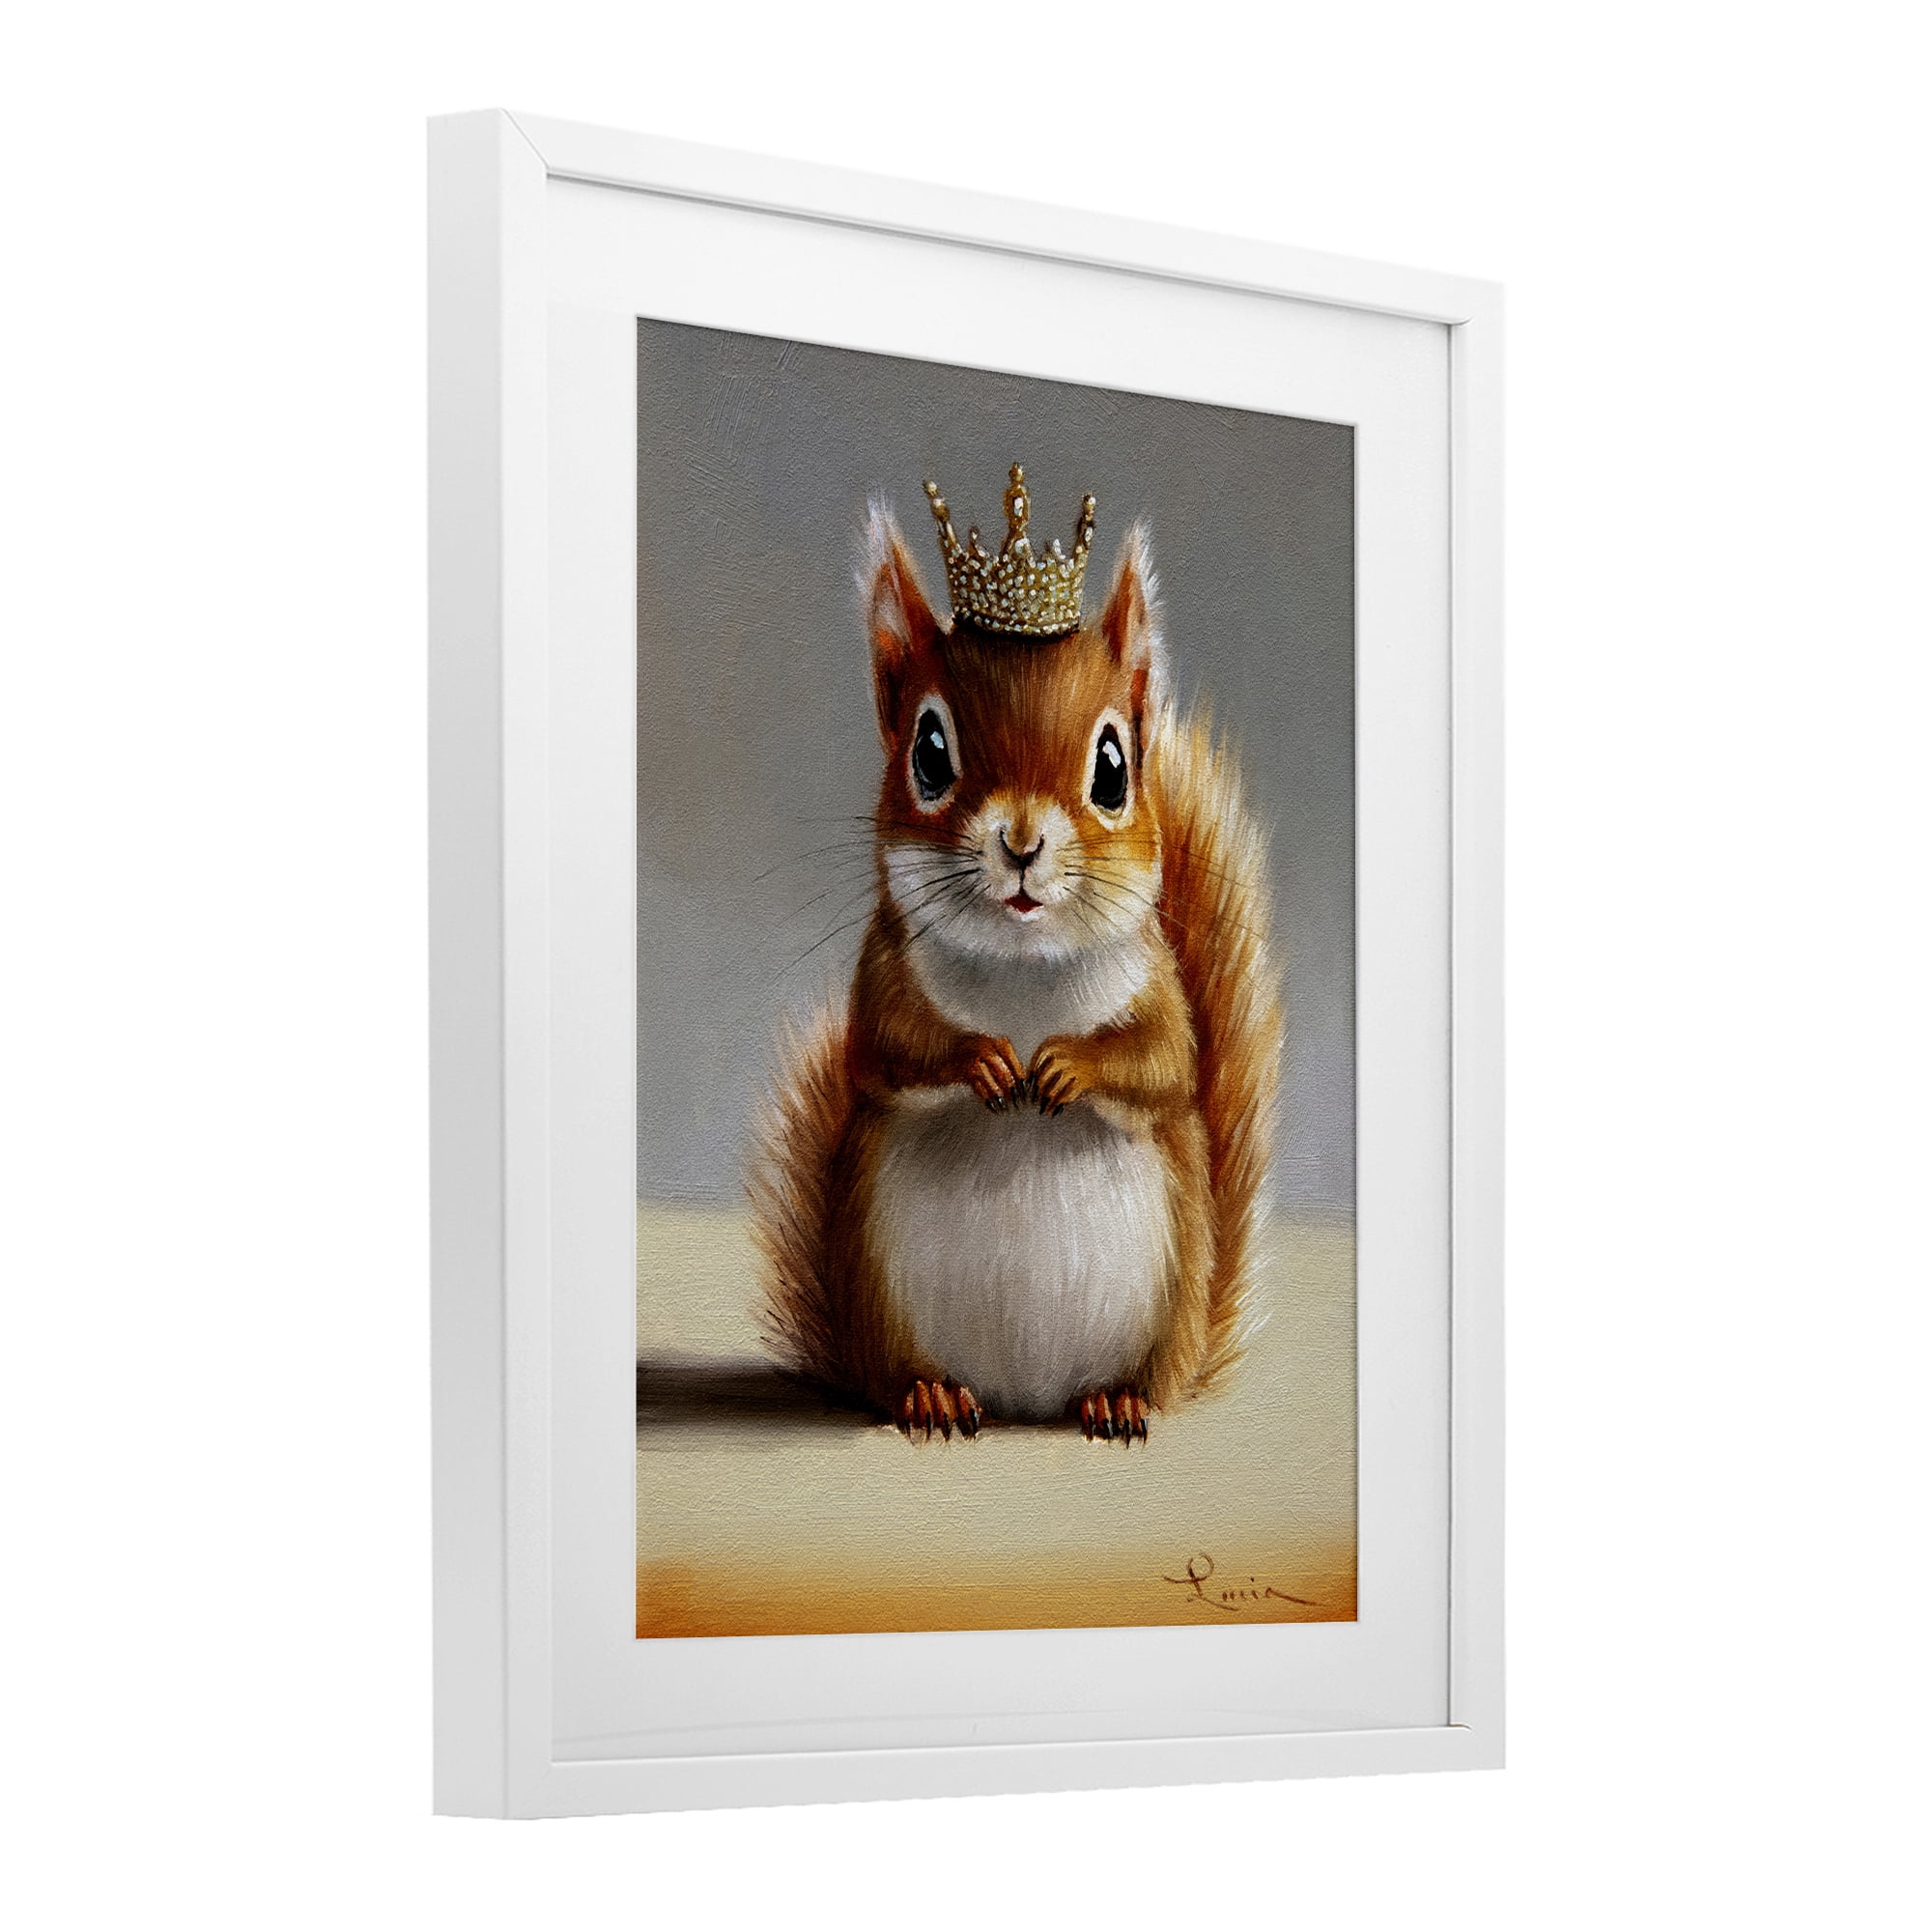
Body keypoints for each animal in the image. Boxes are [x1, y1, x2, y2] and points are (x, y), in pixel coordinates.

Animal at [749, 467, 1281, 1443]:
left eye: (1114, 767)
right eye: (928, 751)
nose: (1024, 844)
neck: (1024, 970)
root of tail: (1023, 1401)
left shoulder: (1159, 985)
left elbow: (1164, 1061)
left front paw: (1068, 1066)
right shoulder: (883, 973)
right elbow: (885, 1049)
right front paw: (984, 1060)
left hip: (1168, 1299)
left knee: (1138, 1381)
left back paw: (1118, 1399)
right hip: (879, 1290)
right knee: (903, 1379)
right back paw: (929, 1395)